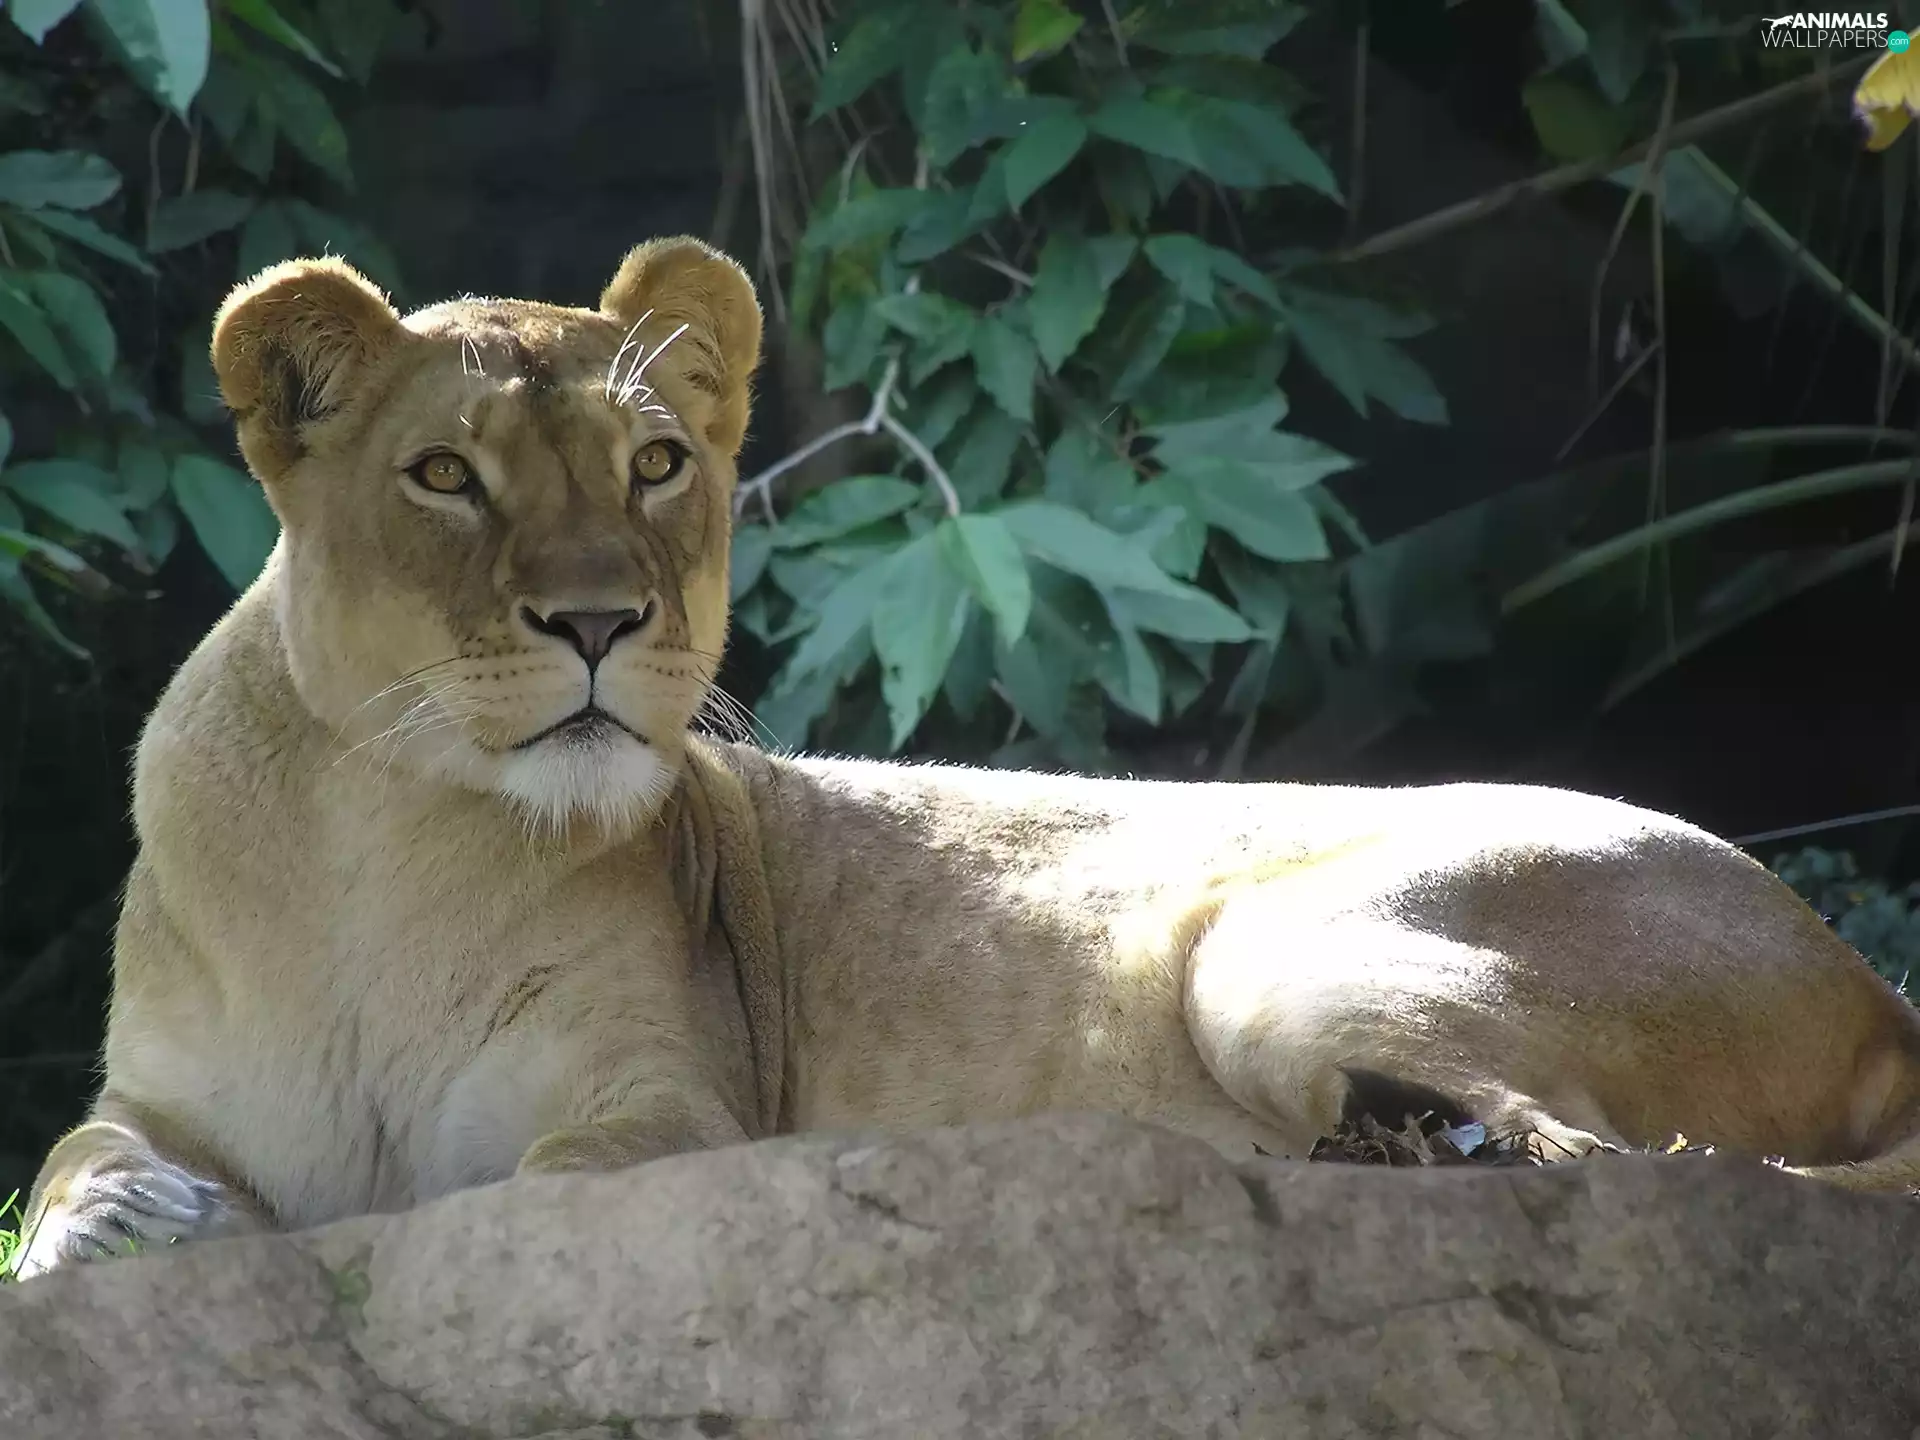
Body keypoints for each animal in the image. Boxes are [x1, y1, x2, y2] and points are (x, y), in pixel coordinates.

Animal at [13, 236, 1920, 1279]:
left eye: (653, 463)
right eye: (443, 477)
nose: (602, 623)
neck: (386, 845)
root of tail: (1859, 971)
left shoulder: (672, 1110)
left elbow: (538, 1193)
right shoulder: (159, 1094)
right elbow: (66, 1164)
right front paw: (114, 1230)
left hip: (1271, 958)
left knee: (1622, 1167)